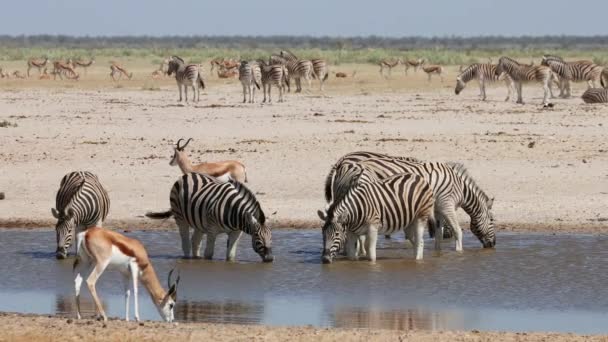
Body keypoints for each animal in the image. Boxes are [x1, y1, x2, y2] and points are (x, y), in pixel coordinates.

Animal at [145, 172, 274, 264]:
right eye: (257, 236)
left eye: (271, 237)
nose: (270, 259)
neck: (235, 215)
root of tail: (188, 174)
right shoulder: (212, 230)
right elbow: (209, 254)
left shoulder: (236, 232)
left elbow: (230, 256)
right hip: (180, 216)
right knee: (185, 242)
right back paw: (187, 259)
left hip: (199, 222)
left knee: (195, 241)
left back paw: (196, 258)